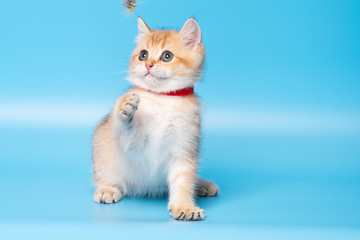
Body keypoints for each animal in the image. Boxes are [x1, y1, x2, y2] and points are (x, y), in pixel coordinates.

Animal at [91, 17, 218, 221]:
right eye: (143, 55)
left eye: (167, 56)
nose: (148, 64)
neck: (163, 99)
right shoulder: (133, 145)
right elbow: (126, 131)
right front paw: (125, 105)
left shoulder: (184, 148)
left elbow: (184, 180)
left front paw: (184, 206)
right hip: (102, 146)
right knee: (104, 174)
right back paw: (107, 188)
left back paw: (201, 184)